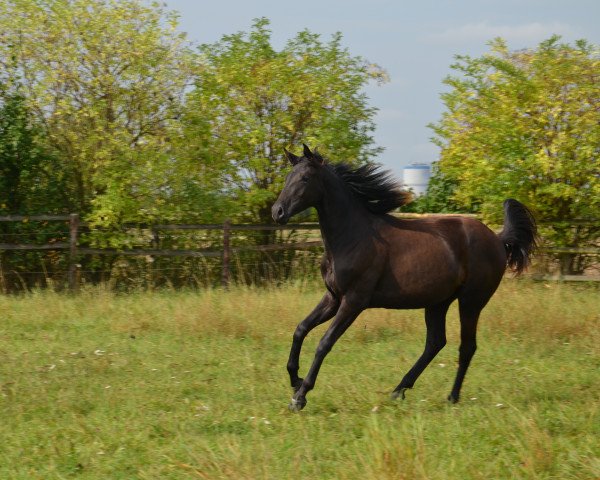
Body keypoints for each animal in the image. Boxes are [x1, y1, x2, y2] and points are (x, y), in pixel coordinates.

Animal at [270, 144, 536, 410]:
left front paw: (300, 396)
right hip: (438, 303)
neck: (353, 237)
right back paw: (399, 390)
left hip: (471, 301)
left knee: (467, 346)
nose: (277, 212)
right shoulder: (333, 297)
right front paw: (295, 379)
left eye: (305, 178)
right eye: (288, 177)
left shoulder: (354, 301)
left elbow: (324, 343)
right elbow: (300, 329)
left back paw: (451, 397)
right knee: (435, 342)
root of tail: (498, 239)